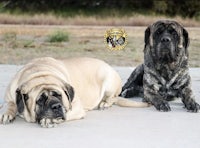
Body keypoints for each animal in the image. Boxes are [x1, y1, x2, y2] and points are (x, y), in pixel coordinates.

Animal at [0, 56, 149, 127]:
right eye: (40, 100)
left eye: (59, 95)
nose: (56, 106)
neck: (39, 73)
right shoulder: (10, 96)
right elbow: (9, 105)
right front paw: (7, 114)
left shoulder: (75, 106)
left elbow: (66, 113)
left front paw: (49, 120)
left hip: (109, 80)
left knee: (112, 97)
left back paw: (104, 103)